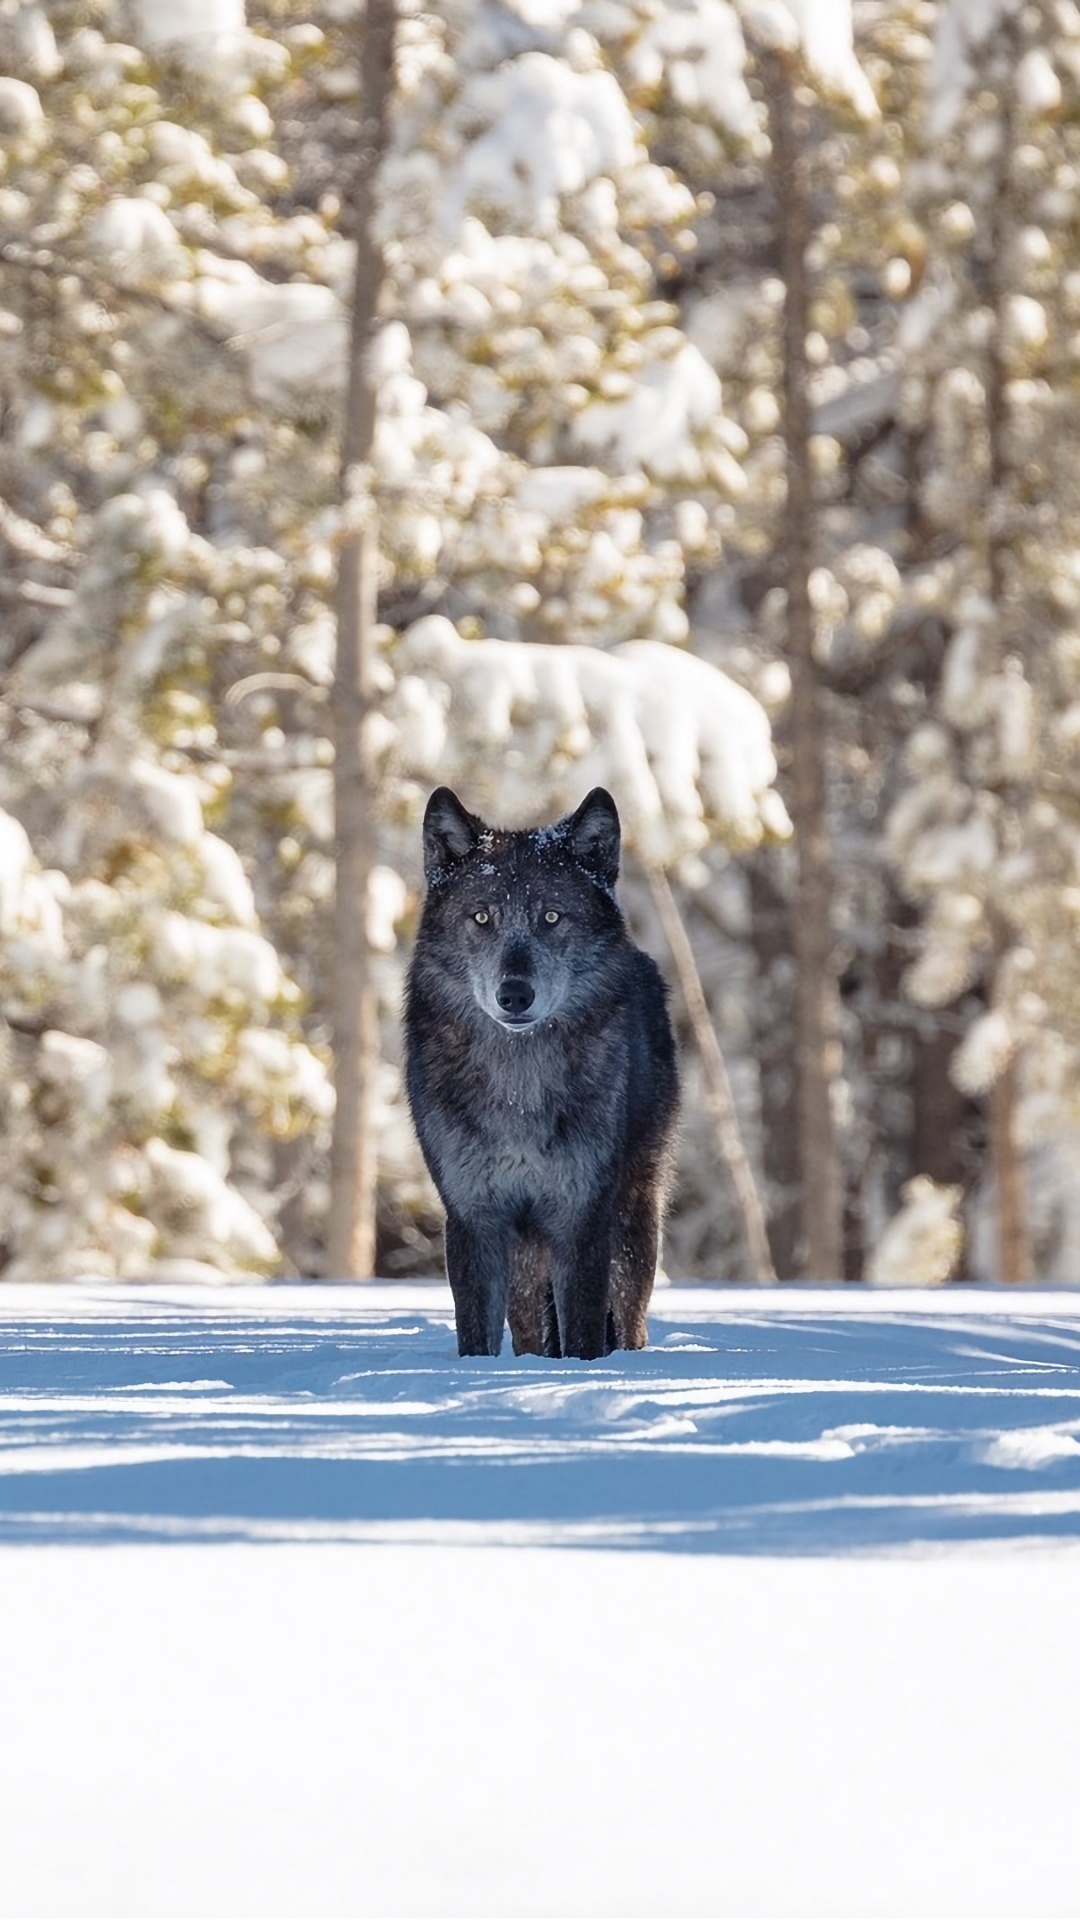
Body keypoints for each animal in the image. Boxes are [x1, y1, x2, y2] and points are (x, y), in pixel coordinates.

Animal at [401, 787, 672, 1359]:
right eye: (482, 918)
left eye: (551, 916)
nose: (514, 994)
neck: (518, 1088)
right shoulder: (475, 1217)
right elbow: (476, 1335)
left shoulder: (581, 1217)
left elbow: (584, 1333)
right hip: (526, 1255)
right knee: (528, 1331)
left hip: (632, 1219)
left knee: (630, 1320)